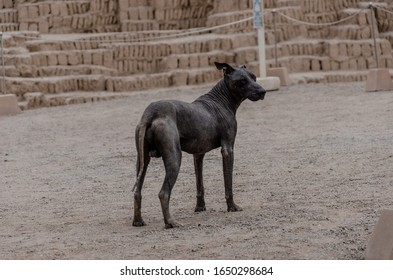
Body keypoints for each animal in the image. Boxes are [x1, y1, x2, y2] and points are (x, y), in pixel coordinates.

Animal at [133, 61, 264, 228]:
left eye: (254, 77)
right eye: (242, 81)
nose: (263, 91)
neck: (221, 100)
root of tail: (151, 112)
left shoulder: (198, 154)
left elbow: (199, 184)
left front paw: (200, 207)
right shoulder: (228, 150)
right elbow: (228, 183)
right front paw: (232, 207)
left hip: (142, 161)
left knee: (137, 191)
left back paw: (138, 221)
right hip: (174, 158)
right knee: (163, 193)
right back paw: (170, 222)